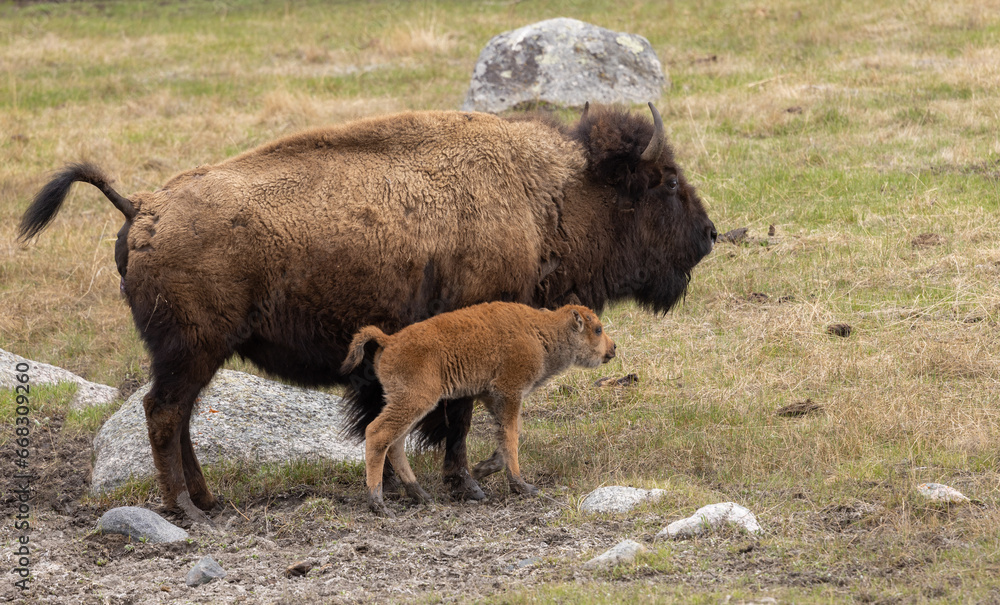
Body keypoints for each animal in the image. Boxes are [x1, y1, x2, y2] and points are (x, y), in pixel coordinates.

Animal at [18, 103, 716, 522]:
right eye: (666, 182)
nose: (709, 235)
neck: (546, 195)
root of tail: (141, 207)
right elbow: (459, 419)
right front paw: (468, 485)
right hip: (191, 349)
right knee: (164, 413)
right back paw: (186, 511)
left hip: (196, 355)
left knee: (179, 415)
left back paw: (209, 501)